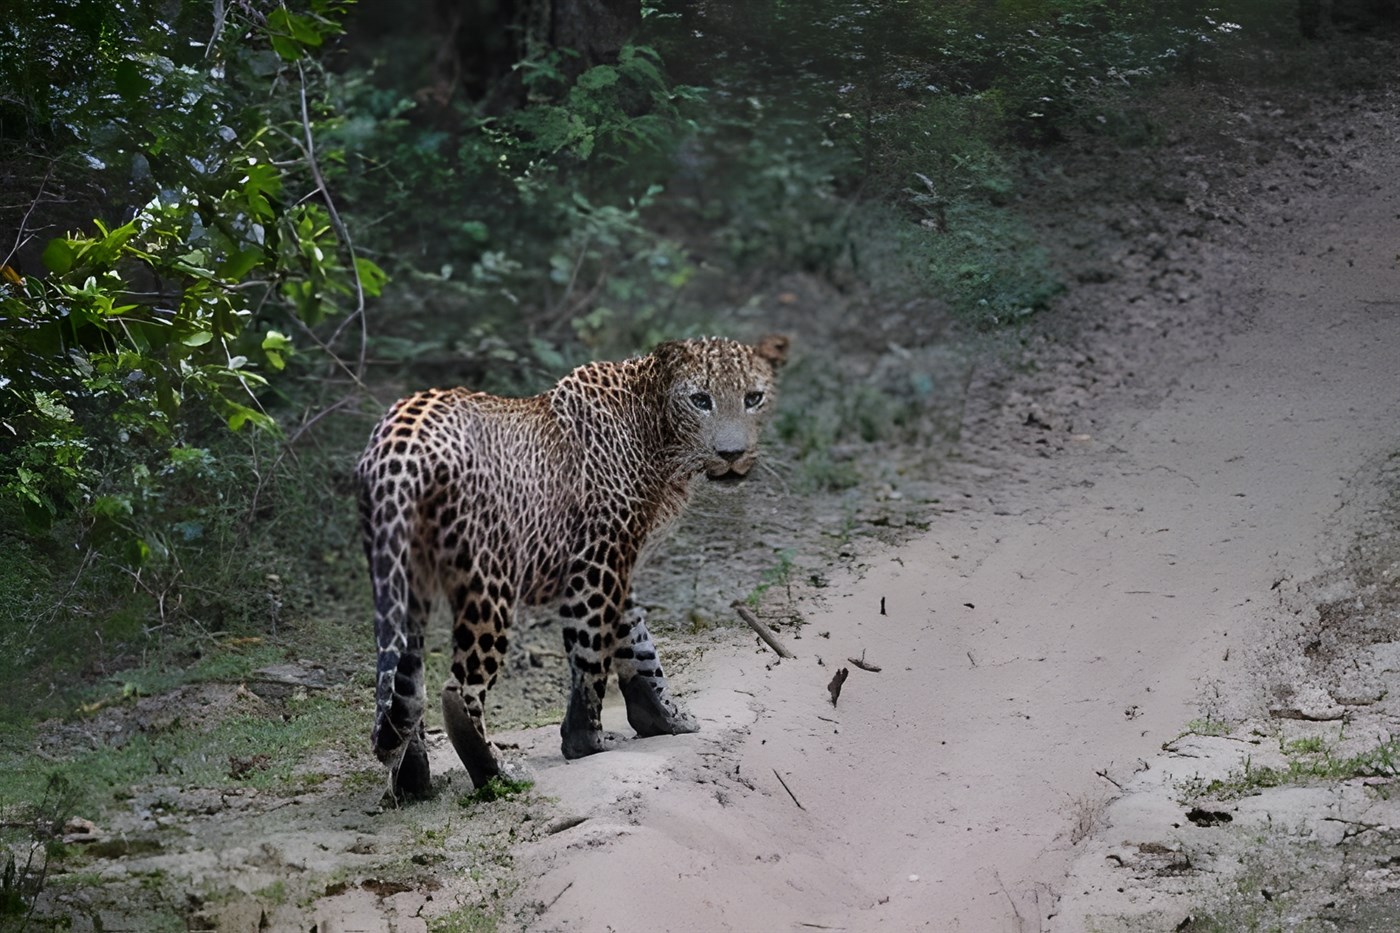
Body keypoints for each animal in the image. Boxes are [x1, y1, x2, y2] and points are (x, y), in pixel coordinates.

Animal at [356, 334, 789, 798]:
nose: (732, 454)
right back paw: (496, 773)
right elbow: (592, 648)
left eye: (753, 398)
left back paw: (410, 780)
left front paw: (663, 717)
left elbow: (636, 640)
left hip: (401, 577)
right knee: (458, 687)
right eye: (701, 400)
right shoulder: (599, 557)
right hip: (489, 576)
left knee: (400, 682)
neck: (656, 429)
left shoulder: (619, 560)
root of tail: (402, 439)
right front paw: (586, 741)